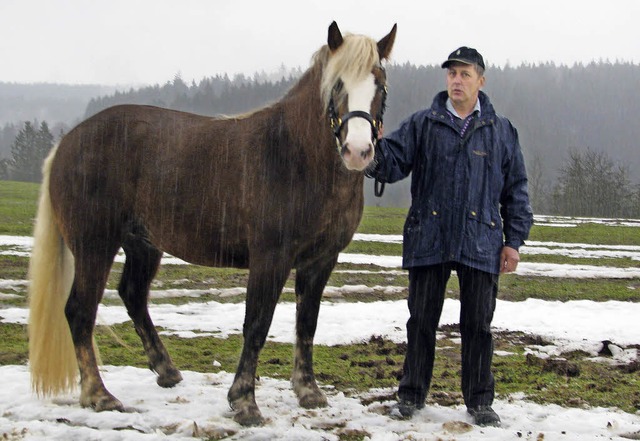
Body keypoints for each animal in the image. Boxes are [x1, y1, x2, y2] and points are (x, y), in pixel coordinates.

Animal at [28, 21, 396, 426]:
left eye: (380, 84)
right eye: (336, 85)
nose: (357, 151)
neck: (294, 155)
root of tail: (67, 142)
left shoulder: (320, 260)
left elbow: (307, 324)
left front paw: (308, 391)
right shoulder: (270, 258)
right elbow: (257, 324)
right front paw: (245, 402)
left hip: (142, 244)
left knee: (133, 295)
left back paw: (166, 371)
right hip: (94, 245)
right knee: (80, 311)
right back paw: (99, 394)